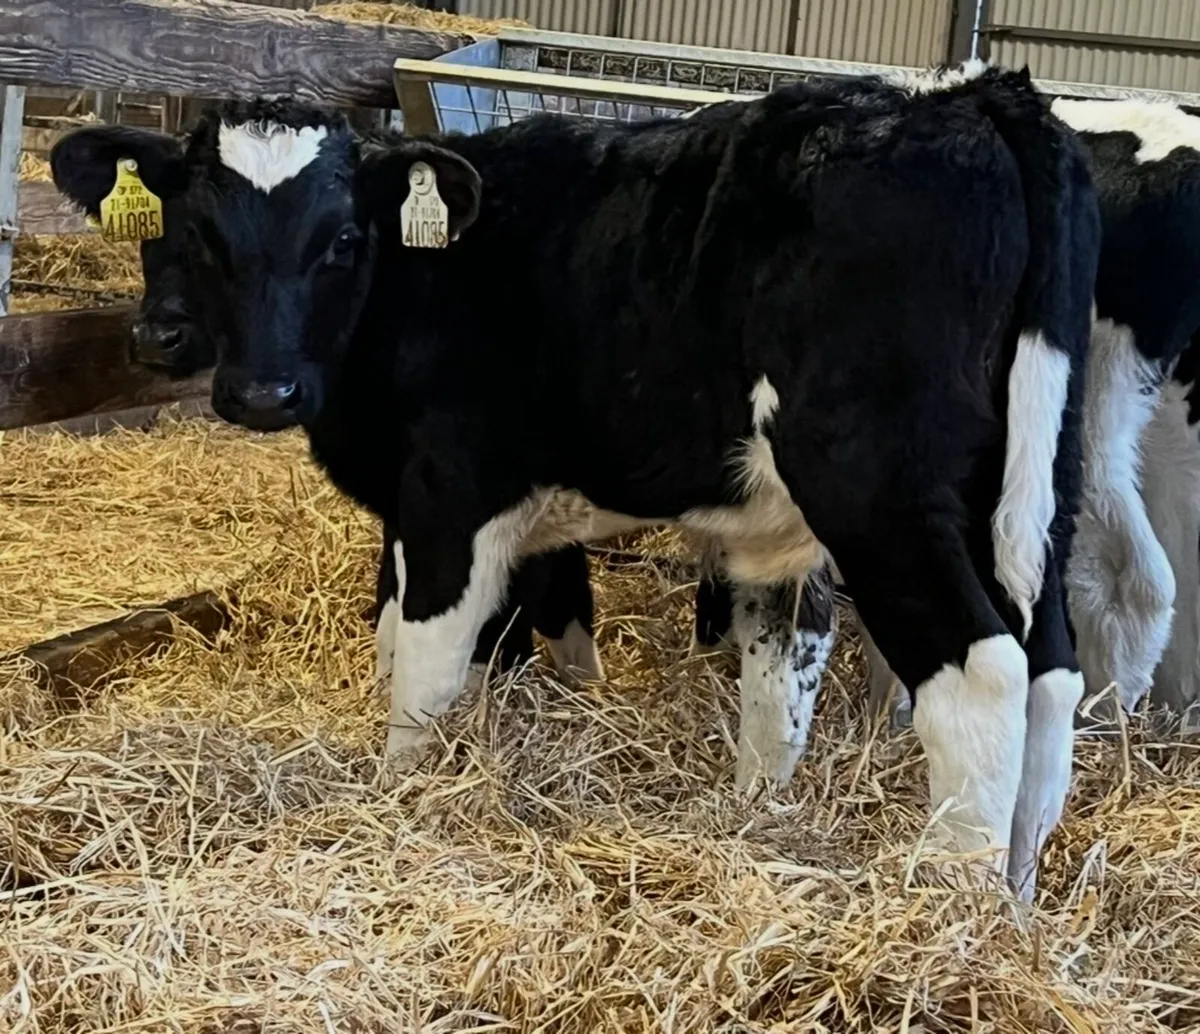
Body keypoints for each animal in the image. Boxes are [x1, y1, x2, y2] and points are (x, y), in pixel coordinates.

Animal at [52, 64, 1099, 899]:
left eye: (344, 239)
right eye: (194, 230)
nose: (260, 390)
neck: (427, 279)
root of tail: (965, 96)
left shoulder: (449, 503)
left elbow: (423, 670)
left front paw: (401, 800)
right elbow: (459, 641)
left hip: (880, 492)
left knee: (983, 673)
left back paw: (952, 903)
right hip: (1030, 492)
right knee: (1050, 669)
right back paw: (1017, 895)